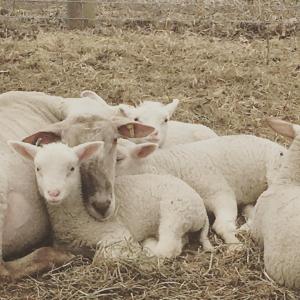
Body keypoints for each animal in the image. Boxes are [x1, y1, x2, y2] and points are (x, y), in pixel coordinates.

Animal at [8, 141, 213, 258]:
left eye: (72, 168)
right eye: (38, 168)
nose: (53, 193)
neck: (78, 216)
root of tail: (202, 212)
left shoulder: (117, 233)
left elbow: (109, 253)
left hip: (176, 211)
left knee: (168, 247)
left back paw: (149, 246)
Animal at [115, 136, 286, 248]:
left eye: (118, 159)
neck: (169, 165)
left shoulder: (220, 192)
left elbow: (222, 225)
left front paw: (234, 244)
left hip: (275, 173)